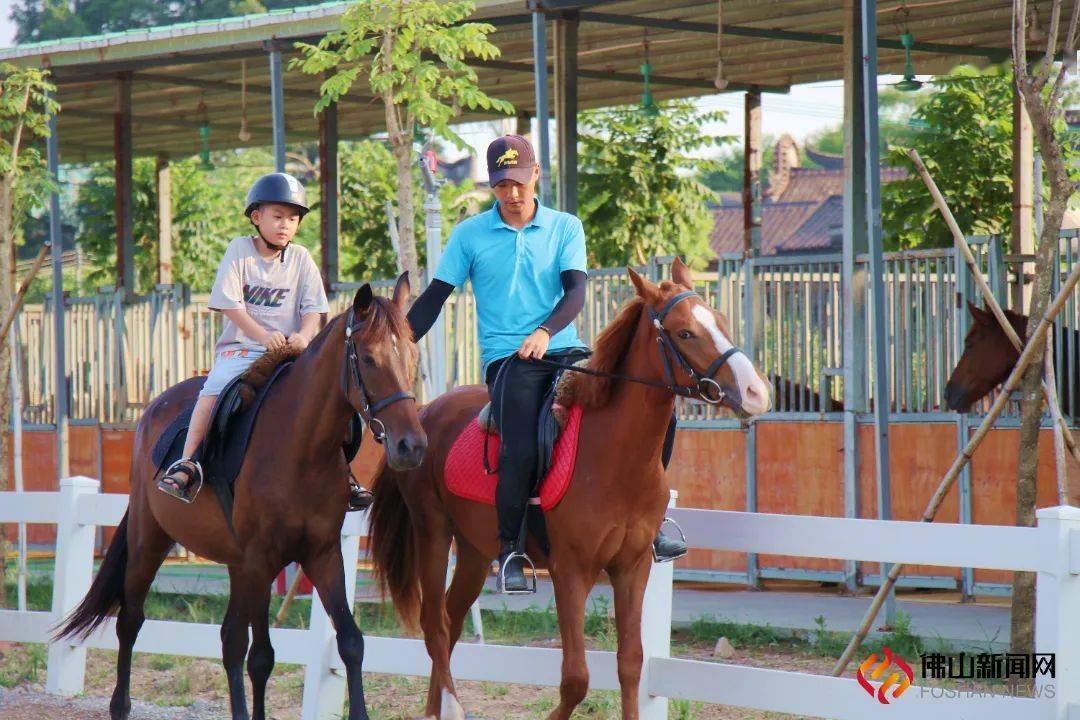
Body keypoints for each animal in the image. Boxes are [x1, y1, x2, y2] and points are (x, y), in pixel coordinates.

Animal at [54, 276, 425, 720]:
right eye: (369, 359)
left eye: (413, 356)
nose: (411, 446)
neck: (299, 447)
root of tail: (152, 411)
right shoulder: (261, 560)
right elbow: (262, 657)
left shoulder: (321, 554)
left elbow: (350, 641)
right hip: (150, 541)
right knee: (131, 620)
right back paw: (120, 706)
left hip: (235, 563)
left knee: (229, 639)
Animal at [369, 259, 768, 720]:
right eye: (685, 333)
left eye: (720, 321)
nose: (757, 392)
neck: (615, 457)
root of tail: (420, 415)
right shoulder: (570, 572)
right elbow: (575, 679)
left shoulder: (633, 567)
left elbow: (631, 664)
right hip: (432, 534)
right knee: (435, 626)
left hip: (473, 551)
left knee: (449, 625)